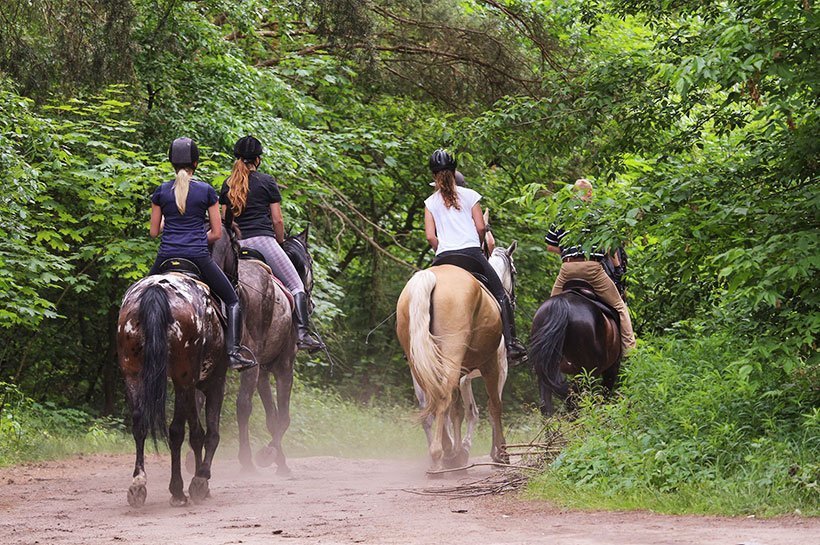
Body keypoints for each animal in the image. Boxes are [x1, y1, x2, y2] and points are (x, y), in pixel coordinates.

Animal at [117, 272, 227, 506]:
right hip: (182, 377)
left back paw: (138, 484)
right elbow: (208, 433)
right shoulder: (213, 381)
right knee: (176, 430)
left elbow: (197, 432)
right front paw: (201, 479)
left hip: (133, 373)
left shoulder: (192, 385)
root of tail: (156, 290)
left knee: (139, 423)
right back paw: (177, 490)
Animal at [208, 224, 314, 472]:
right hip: (251, 362)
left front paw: (279, 460)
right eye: (311, 261)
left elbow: (271, 418)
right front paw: (268, 455)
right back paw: (246, 460)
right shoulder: (284, 366)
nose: (311, 303)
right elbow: (283, 417)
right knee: (243, 405)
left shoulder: (264, 371)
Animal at [394, 242, 516, 472]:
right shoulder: (497, 367)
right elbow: (494, 406)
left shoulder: (463, 375)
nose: (512, 299)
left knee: (432, 404)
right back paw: (440, 455)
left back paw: (445, 451)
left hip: (420, 364)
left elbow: (459, 411)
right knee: (445, 399)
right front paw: (499, 454)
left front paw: (459, 452)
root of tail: (429, 278)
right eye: (514, 271)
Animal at [528, 282, 620, 414]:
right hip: (587, 372)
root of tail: (561, 303)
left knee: (547, 403)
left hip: (545, 368)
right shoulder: (612, 367)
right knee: (577, 400)